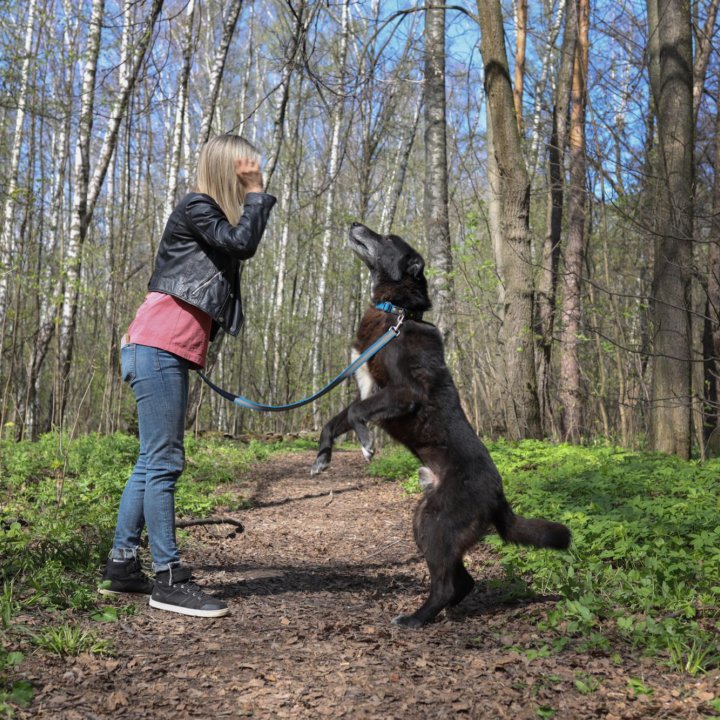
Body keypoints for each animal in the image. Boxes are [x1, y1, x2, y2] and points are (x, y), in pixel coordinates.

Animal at [312, 222, 572, 628]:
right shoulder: (367, 390)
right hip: (427, 519)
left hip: (436, 523)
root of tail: (499, 497)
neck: (396, 312)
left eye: (387, 238)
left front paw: (367, 444)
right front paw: (322, 458)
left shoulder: (404, 393)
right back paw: (438, 612)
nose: (354, 224)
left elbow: (356, 415)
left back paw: (415, 618)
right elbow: (334, 421)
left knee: (448, 582)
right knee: (462, 581)